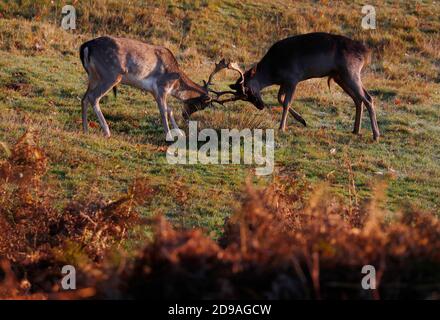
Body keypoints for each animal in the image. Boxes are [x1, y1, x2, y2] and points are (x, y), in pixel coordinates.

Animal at [215, 32, 380, 140]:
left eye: (248, 90)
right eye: (243, 97)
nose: (260, 106)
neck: (273, 71)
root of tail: (366, 53)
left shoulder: (293, 78)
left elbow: (286, 102)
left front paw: (282, 127)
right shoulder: (285, 81)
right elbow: (280, 98)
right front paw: (302, 120)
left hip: (350, 71)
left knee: (368, 98)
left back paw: (376, 134)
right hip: (339, 76)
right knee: (358, 99)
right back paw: (356, 130)